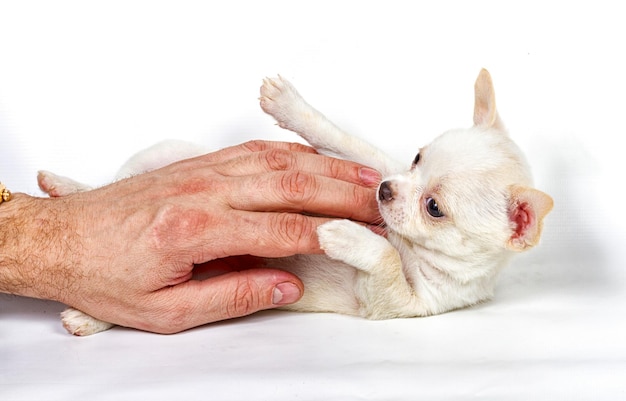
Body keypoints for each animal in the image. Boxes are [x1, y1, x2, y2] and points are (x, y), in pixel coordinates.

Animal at [39, 69, 552, 334]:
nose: (384, 191)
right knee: (113, 187)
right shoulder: (370, 163)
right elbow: (341, 139)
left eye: (434, 208)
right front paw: (290, 105)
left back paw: (86, 316)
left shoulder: (399, 304)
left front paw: (346, 235)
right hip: (158, 157)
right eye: (416, 158)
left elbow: (385, 260)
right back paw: (65, 185)